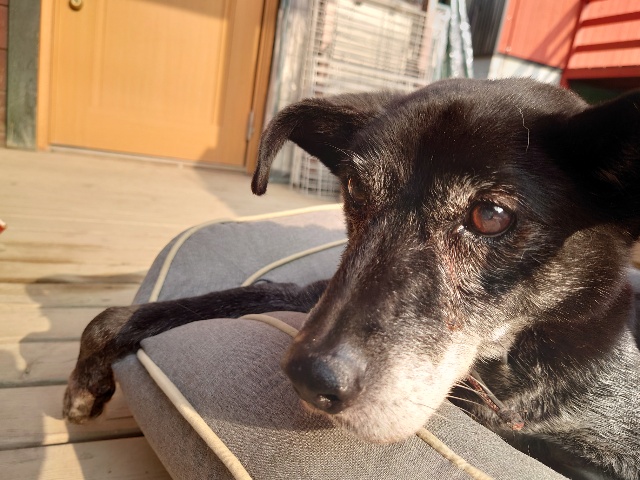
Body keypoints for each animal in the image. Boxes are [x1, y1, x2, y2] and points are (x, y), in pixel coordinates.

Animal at [63, 78, 640, 479]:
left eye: (492, 216)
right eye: (355, 190)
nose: (309, 378)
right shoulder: (312, 298)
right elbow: (218, 298)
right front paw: (87, 378)